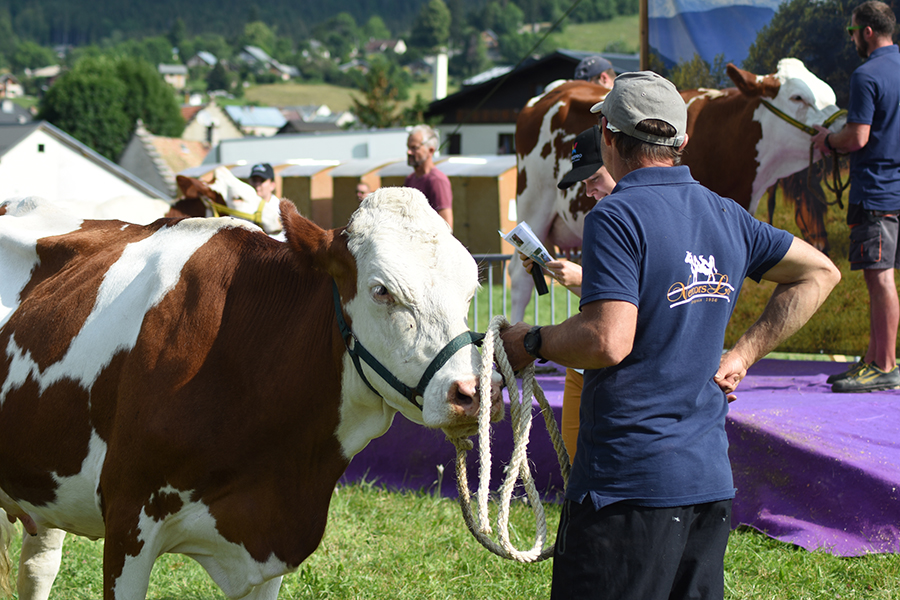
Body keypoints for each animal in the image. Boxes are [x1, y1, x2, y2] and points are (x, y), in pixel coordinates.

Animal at [0, 189, 500, 600]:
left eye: (470, 289)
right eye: (381, 291)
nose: (474, 392)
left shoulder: (270, 541)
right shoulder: (128, 522)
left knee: (37, 569)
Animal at [512, 58, 844, 322]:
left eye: (830, 93)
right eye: (798, 97)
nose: (841, 130)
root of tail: (554, 90)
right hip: (532, 202)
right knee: (519, 282)